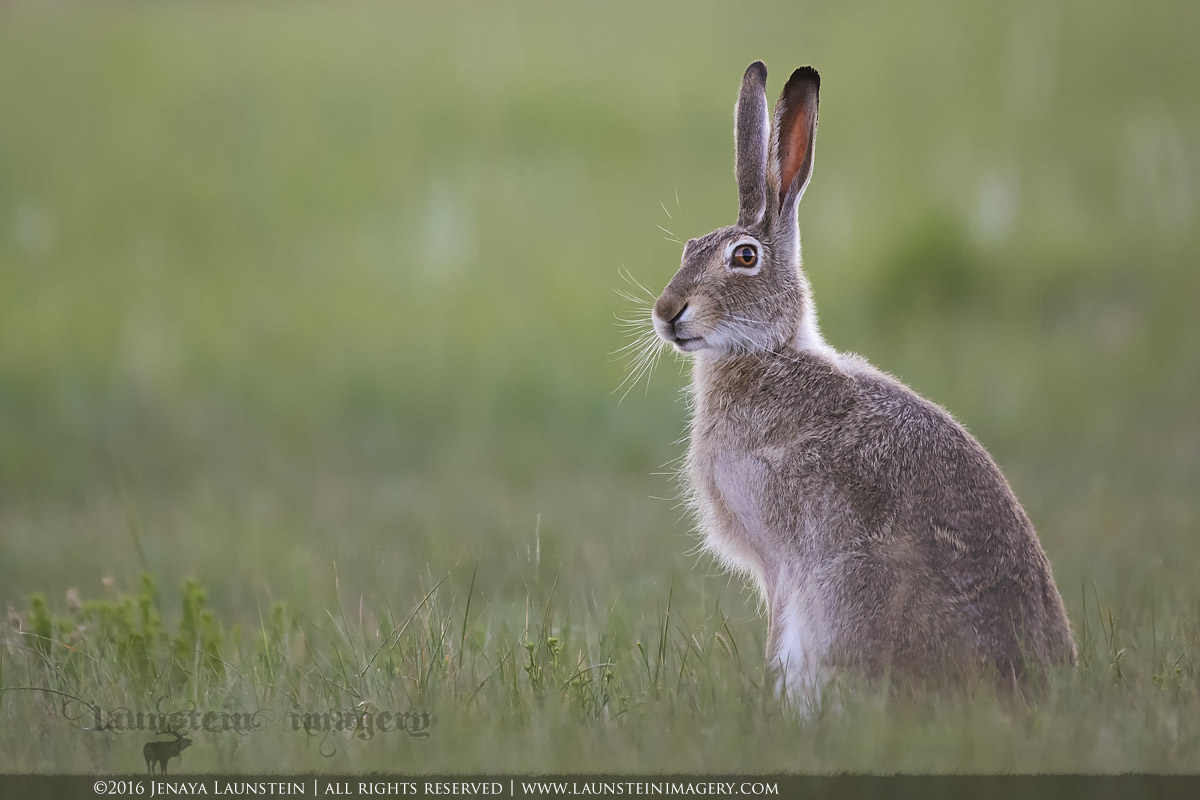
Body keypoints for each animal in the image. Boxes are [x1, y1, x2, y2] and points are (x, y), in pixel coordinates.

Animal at [650, 61, 1075, 702]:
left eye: (744, 258)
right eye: (687, 248)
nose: (666, 311)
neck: (768, 353)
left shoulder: (782, 560)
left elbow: (778, 627)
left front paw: (773, 701)